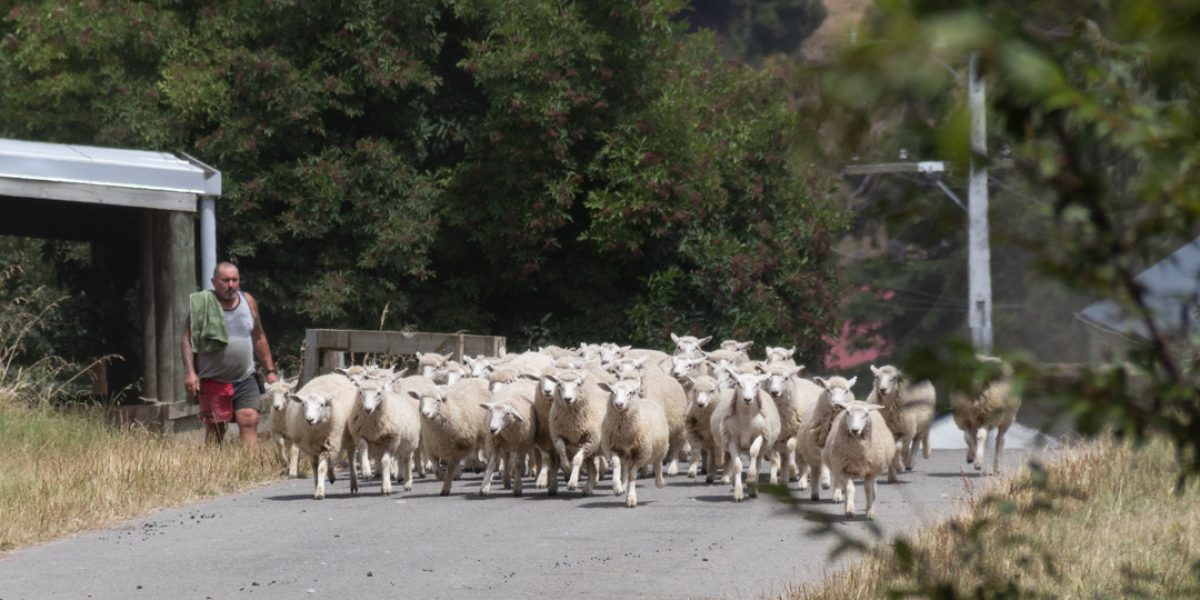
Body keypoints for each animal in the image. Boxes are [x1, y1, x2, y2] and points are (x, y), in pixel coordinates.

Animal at [598, 378, 670, 508]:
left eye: (630, 393)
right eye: (612, 391)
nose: (619, 404)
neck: (624, 435)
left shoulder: (641, 455)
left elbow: (633, 475)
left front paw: (631, 498)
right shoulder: (613, 448)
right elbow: (616, 464)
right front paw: (617, 488)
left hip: (660, 449)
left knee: (658, 464)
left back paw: (660, 482)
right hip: (627, 456)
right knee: (625, 468)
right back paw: (623, 485)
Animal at [710, 371, 781, 501]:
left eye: (757, 384)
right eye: (738, 383)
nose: (747, 399)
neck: (746, 421)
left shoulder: (759, 435)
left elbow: (753, 452)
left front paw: (751, 479)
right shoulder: (732, 439)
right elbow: (737, 465)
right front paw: (738, 493)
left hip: (764, 446)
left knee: (758, 463)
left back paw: (753, 489)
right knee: (733, 461)